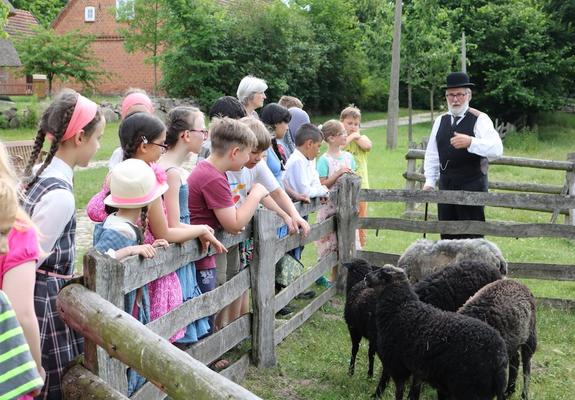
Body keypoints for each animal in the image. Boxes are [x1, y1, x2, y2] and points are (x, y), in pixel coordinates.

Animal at [366, 266, 506, 400]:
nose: (366, 276)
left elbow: (398, 391)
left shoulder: (397, 364)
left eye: (382, 273)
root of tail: (499, 355)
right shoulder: (417, 367)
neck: (401, 307)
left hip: (472, 388)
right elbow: (415, 389)